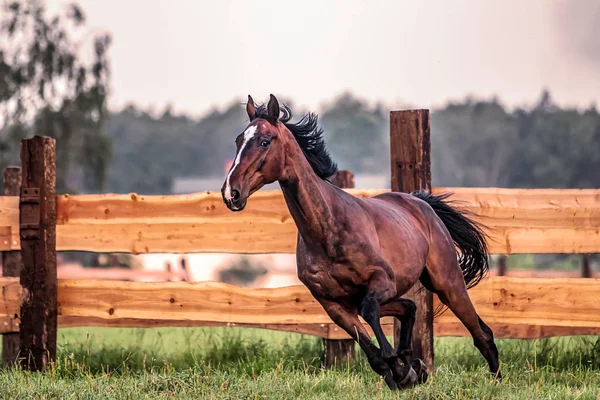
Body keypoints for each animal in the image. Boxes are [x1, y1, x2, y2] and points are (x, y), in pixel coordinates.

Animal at [221, 93, 502, 388]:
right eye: (238, 141)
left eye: (264, 141)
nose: (231, 193)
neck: (328, 232)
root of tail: (421, 202)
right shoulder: (335, 306)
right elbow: (374, 354)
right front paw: (403, 370)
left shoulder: (382, 282)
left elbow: (370, 315)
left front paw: (402, 365)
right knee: (409, 307)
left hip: (447, 283)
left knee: (481, 333)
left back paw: (494, 380)